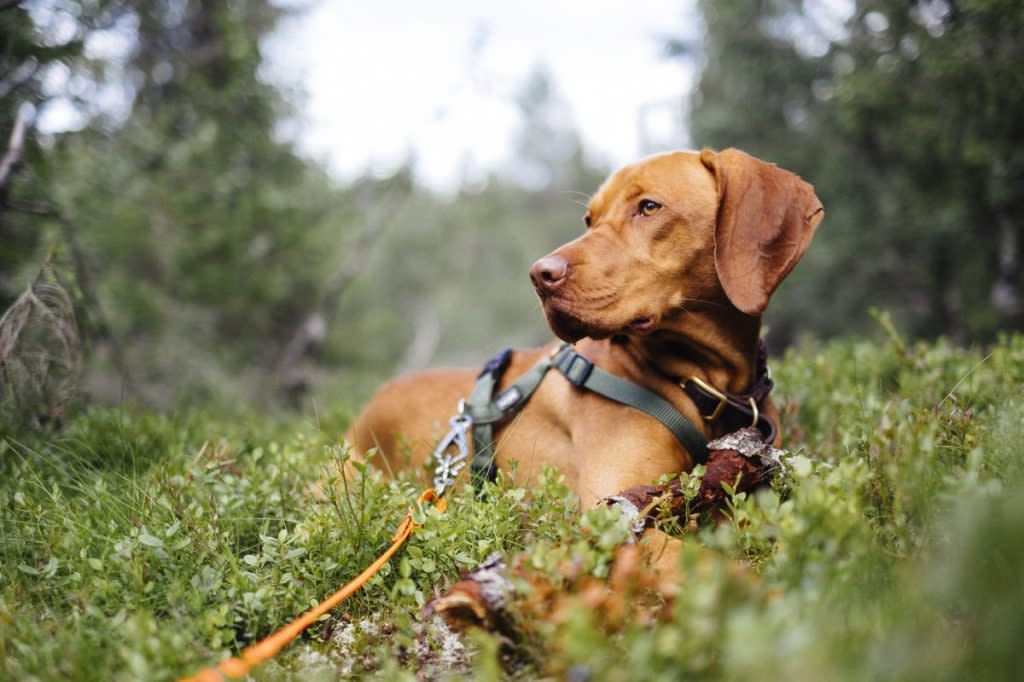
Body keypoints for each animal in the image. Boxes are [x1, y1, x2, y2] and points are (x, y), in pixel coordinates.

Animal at [348, 148, 819, 602]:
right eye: (589, 220)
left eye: (649, 207)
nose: (540, 275)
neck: (705, 384)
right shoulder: (611, 515)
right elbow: (722, 572)